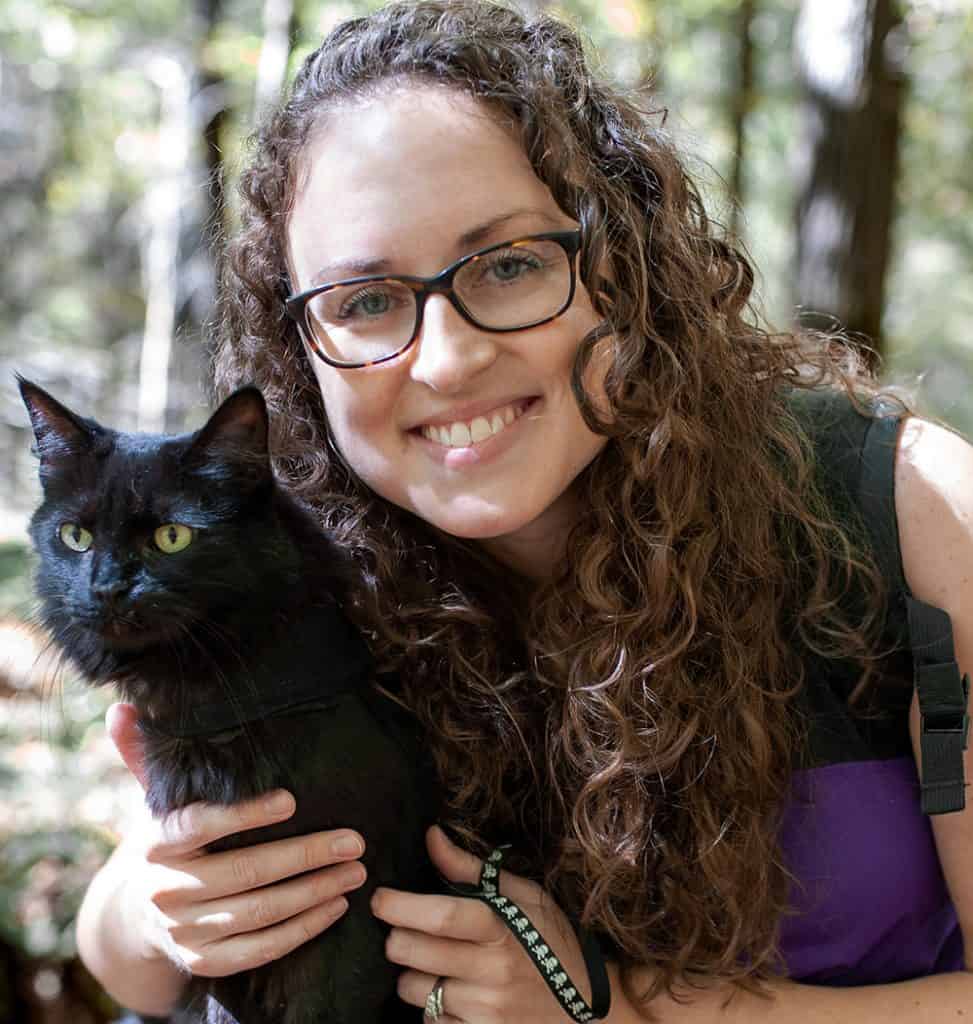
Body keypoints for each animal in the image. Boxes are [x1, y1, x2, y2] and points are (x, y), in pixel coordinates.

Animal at [18, 380, 438, 1024]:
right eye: (75, 537)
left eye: (172, 537)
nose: (107, 587)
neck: (225, 707)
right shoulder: (223, 933)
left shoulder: (355, 911)